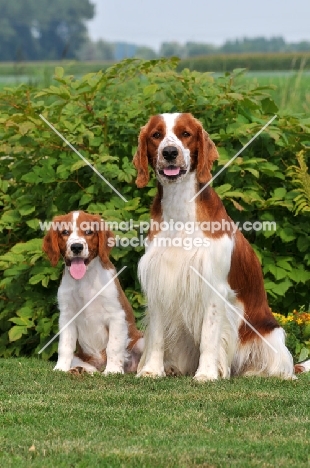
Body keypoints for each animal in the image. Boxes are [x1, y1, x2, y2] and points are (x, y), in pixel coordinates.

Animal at [43, 210, 143, 374]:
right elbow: (65, 346)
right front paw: (60, 368)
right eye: (65, 232)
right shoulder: (67, 315)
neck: (84, 279)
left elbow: (113, 346)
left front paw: (113, 371)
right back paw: (79, 370)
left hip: (141, 341)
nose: (76, 247)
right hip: (81, 356)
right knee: (89, 367)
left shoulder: (116, 315)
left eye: (89, 232)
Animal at [133, 112, 308, 380]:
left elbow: (209, 336)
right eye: (156, 135)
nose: (170, 152)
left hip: (271, 335)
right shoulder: (160, 279)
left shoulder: (213, 286)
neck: (180, 210)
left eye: (186, 134)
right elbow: (157, 337)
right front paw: (152, 370)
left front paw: (206, 374)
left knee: (280, 367)